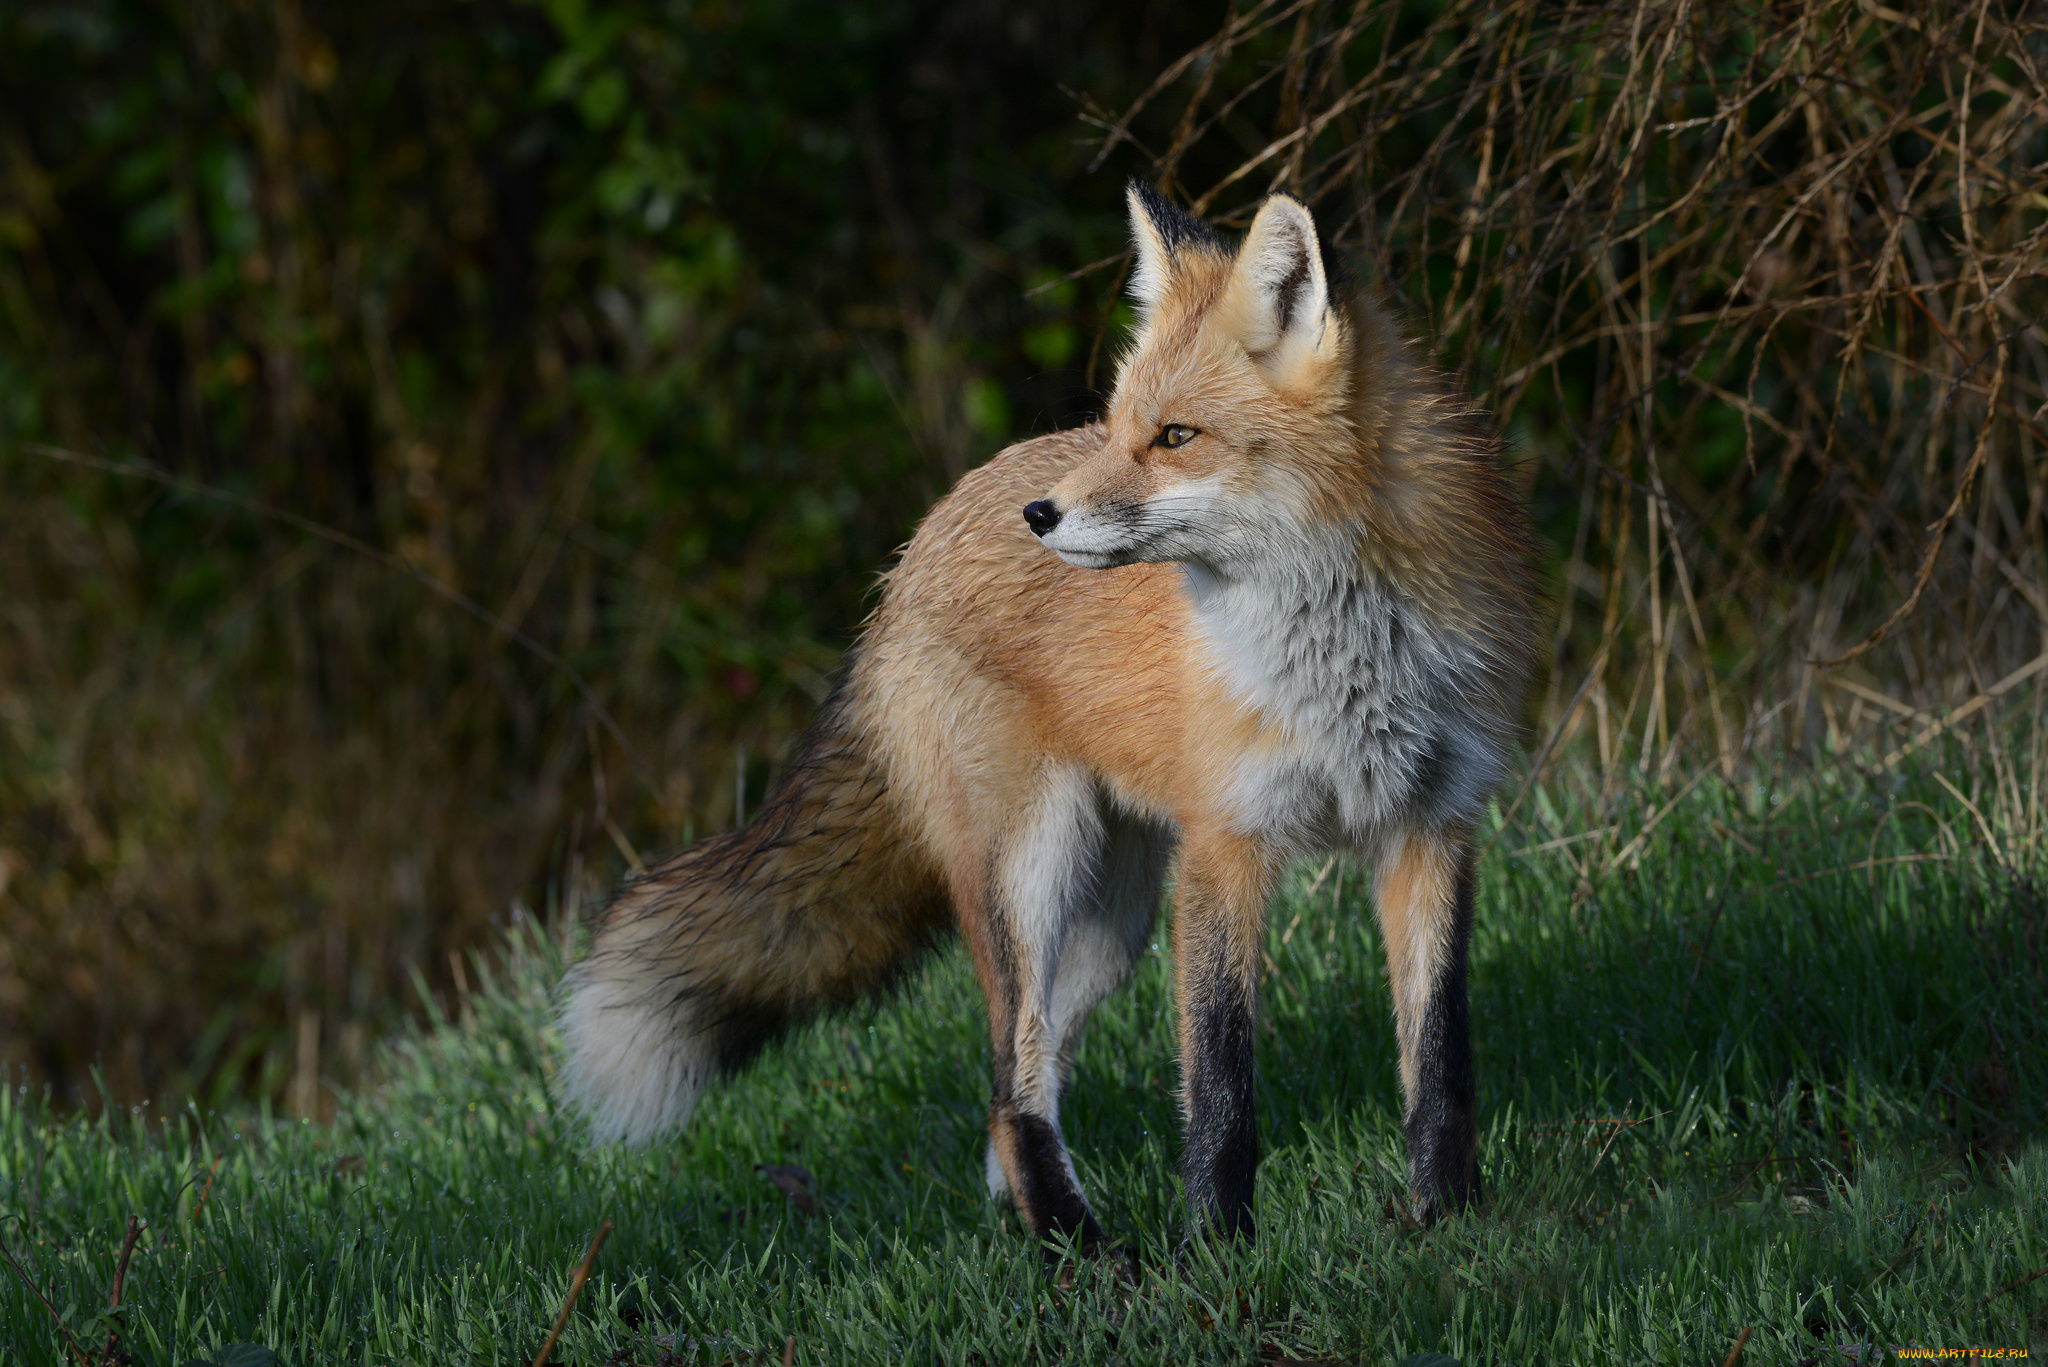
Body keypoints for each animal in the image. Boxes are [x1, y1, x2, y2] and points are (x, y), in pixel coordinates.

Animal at [561, 184, 1540, 1254]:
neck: (1345, 660)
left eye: (1175, 436)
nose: (1041, 516)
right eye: (1115, 427)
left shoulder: (1432, 827)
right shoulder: (1225, 844)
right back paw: (1085, 1250)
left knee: (1022, 1077)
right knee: (1012, 1084)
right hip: (1032, 873)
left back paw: (1039, 1223)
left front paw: (1453, 1219)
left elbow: (1440, 1063)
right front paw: (1218, 1246)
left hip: (1115, 917)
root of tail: (910, 553)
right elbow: (1221, 1080)